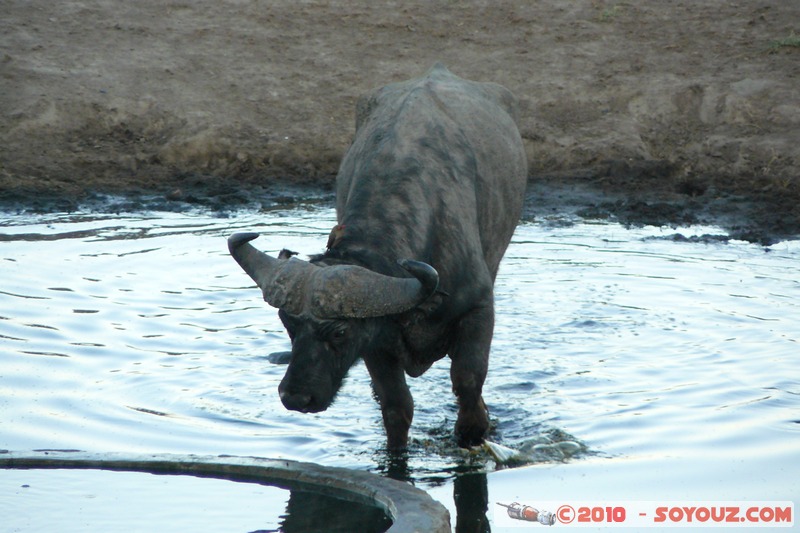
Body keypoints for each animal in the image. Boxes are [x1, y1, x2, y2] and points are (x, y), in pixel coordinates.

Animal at [228, 63, 528, 448]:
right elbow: (396, 406)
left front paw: (473, 432)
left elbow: (467, 382)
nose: (295, 397)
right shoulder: (376, 342)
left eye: (340, 332)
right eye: (287, 323)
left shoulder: (479, 310)